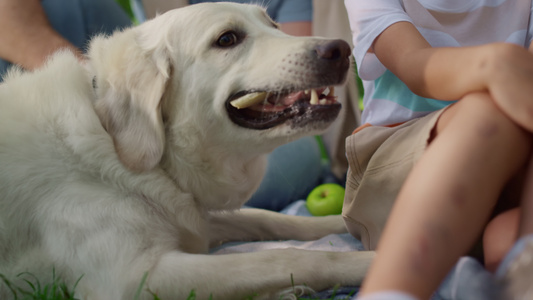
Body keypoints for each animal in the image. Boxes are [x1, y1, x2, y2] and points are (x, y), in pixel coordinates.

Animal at [0, 2, 372, 300]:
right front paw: (366, 262)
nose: (341, 49)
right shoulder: (134, 279)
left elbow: (272, 219)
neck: (115, 142)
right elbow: (288, 257)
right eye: (227, 39)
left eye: (274, 26)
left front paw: (347, 223)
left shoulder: (195, 220)